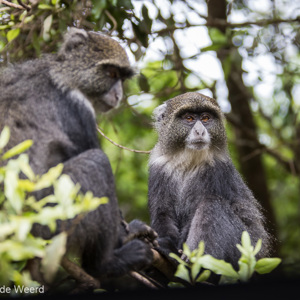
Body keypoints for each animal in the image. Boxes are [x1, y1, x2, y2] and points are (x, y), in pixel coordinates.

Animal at [0, 27, 158, 282]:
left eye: (122, 79)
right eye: (111, 73)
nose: (118, 95)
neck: (60, 74)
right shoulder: (77, 107)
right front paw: (126, 235)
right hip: (51, 221)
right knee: (96, 162)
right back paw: (105, 264)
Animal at [148, 91, 272, 270]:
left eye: (206, 118)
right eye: (189, 118)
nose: (200, 131)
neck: (188, 161)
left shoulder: (216, 170)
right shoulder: (158, 168)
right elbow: (163, 213)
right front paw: (166, 247)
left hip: (242, 250)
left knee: (212, 205)